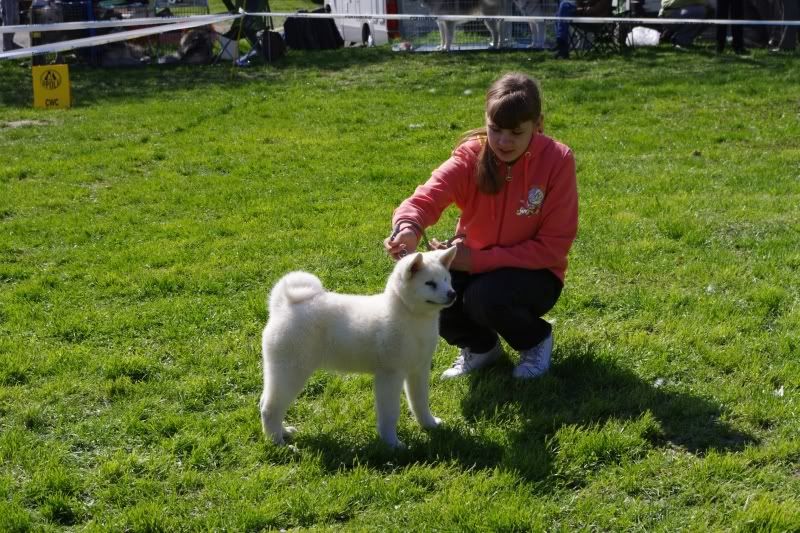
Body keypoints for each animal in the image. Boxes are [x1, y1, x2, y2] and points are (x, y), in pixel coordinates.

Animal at [259, 247, 457, 448]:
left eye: (446, 279)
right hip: (292, 371)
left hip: (281, 372)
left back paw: (284, 432)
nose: (452, 294)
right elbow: (390, 414)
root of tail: (283, 306)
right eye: (429, 283)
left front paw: (430, 424)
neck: (411, 317)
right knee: (270, 408)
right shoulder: (390, 375)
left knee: (265, 402)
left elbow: (420, 402)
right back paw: (279, 443)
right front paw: (392, 444)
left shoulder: (418, 369)